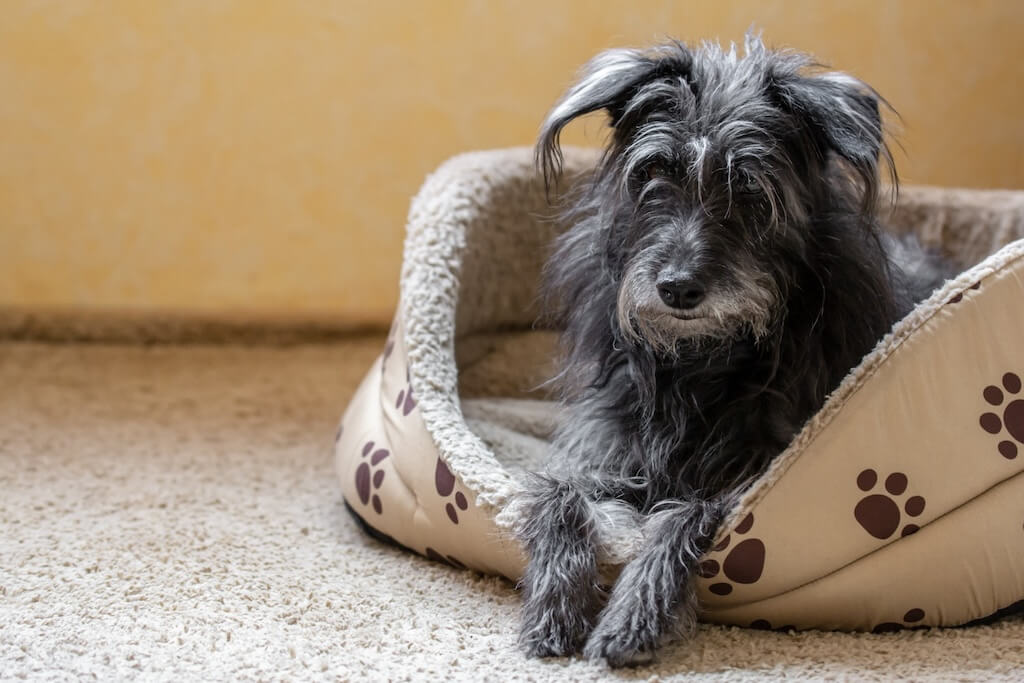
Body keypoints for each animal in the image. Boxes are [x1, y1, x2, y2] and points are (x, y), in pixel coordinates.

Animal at [516, 33, 954, 667]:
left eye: (748, 186)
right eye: (654, 172)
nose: (676, 288)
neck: (701, 357)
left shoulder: (747, 479)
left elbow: (683, 516)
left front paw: (633, 615)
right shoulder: (602, 451)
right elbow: (556, 492)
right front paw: (552, 604)